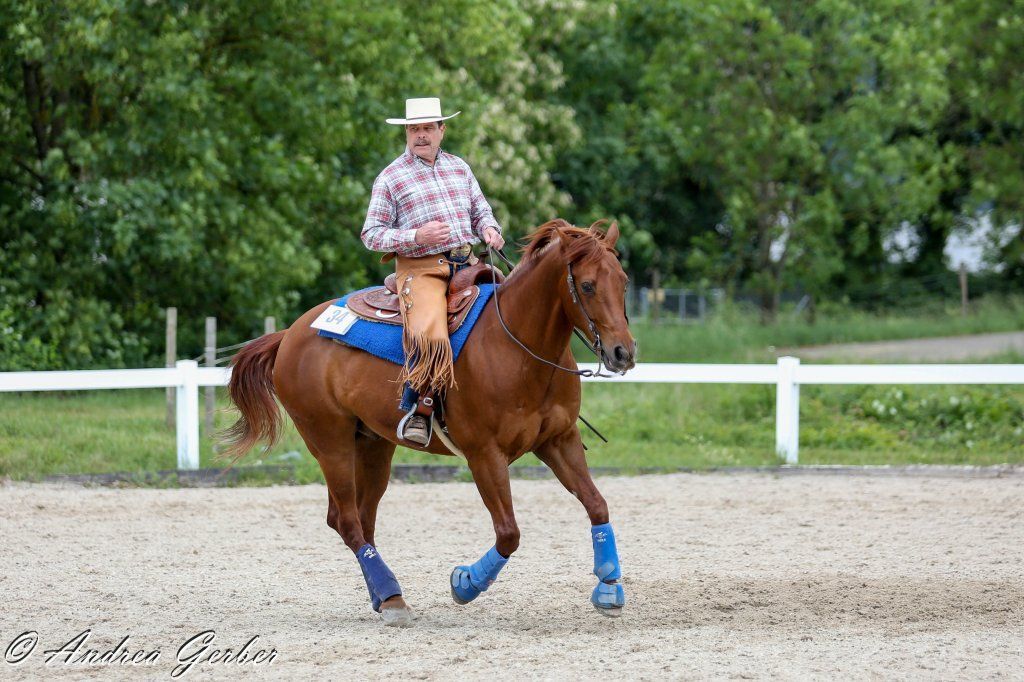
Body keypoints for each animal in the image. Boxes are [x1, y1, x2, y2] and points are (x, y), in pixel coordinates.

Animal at [222, 219, 637, 626]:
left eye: (623, 280)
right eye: (587, 285)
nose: (623, 353)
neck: (517, 348)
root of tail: (290, 334)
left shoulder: (559, 440)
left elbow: (597, 505)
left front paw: (609, 588)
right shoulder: (484, 455)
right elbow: (508, 533)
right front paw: (465, 583)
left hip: (372, 444)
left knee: (360, 518)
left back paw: (384, 597)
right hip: (330, 444)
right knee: (348, 521)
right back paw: (392, 598)